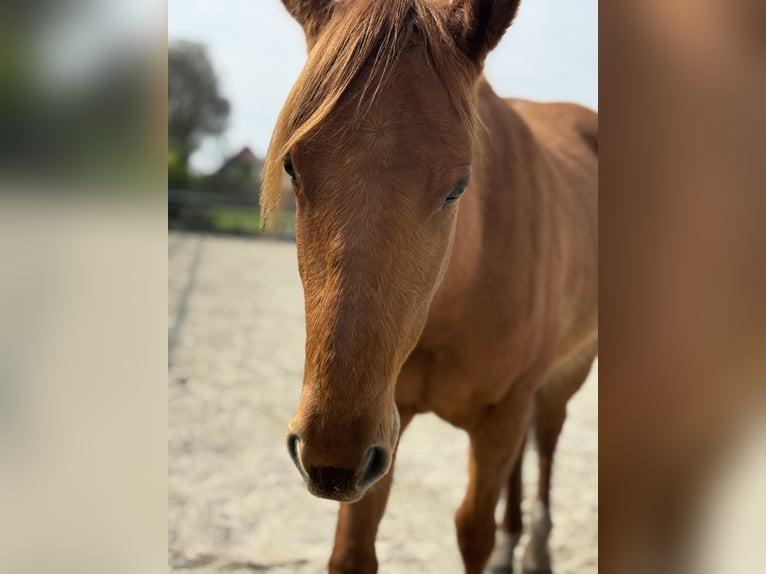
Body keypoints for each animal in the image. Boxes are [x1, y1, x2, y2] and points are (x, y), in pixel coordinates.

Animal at [260, 1, 598, 573]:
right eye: (292, 167)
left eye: (458, 187)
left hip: (564, 375)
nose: (330, 453)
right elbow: (353, 550)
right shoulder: (381, 431)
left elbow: (473, 531)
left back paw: (535, 547)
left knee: (547, 442)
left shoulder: (500, 414)